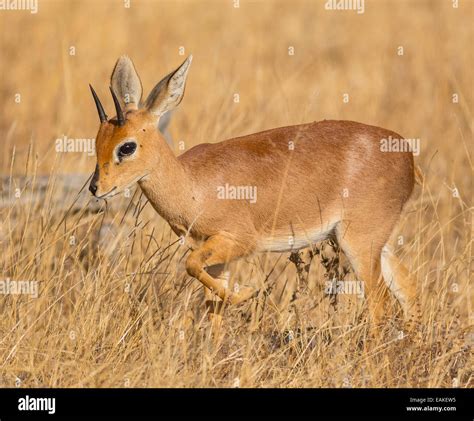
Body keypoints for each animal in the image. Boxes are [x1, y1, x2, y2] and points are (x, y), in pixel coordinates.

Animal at [89, 54, 418, 326]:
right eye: (97, 141)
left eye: (127, 146)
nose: (95, 188)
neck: (192, 185)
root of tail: (406, 153)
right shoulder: (215, 255)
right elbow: (212, 305)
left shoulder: (237, 242)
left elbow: (192, 267)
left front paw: (248, 293)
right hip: (379, 243)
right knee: (408, 289)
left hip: (357, 243)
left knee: (380, 301)